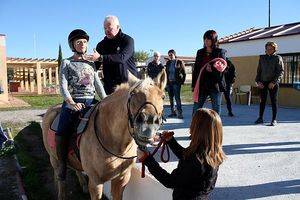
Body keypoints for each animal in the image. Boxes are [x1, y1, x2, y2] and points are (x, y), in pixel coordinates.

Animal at [41, 70, 168, 198]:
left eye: (162, 96)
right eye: (133, 93)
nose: (148, 124)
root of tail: (52, 109)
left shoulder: (122, 179)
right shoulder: (95, 182)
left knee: (77, 169)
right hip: (54, 159)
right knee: (60, 176)